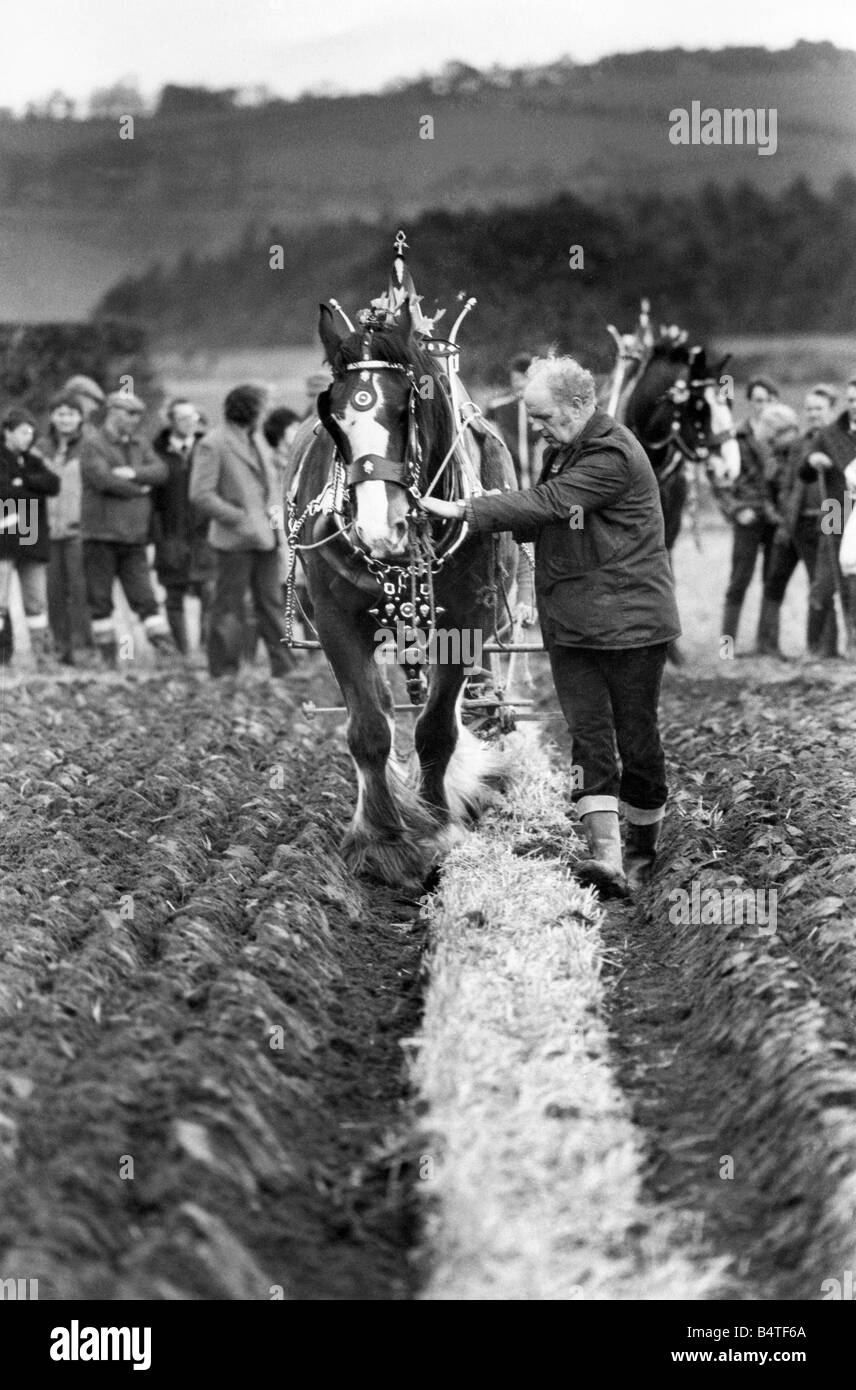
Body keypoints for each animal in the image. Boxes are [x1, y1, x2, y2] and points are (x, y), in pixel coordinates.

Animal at [287, 272, 516, 889]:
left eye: (405, 409)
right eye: (334, 419)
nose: (376, 528)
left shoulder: (466, 622)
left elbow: (438, 728)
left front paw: (436, 825)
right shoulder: (337, 621)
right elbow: (369, 728)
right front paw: (385, 839)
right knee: (387, 709)